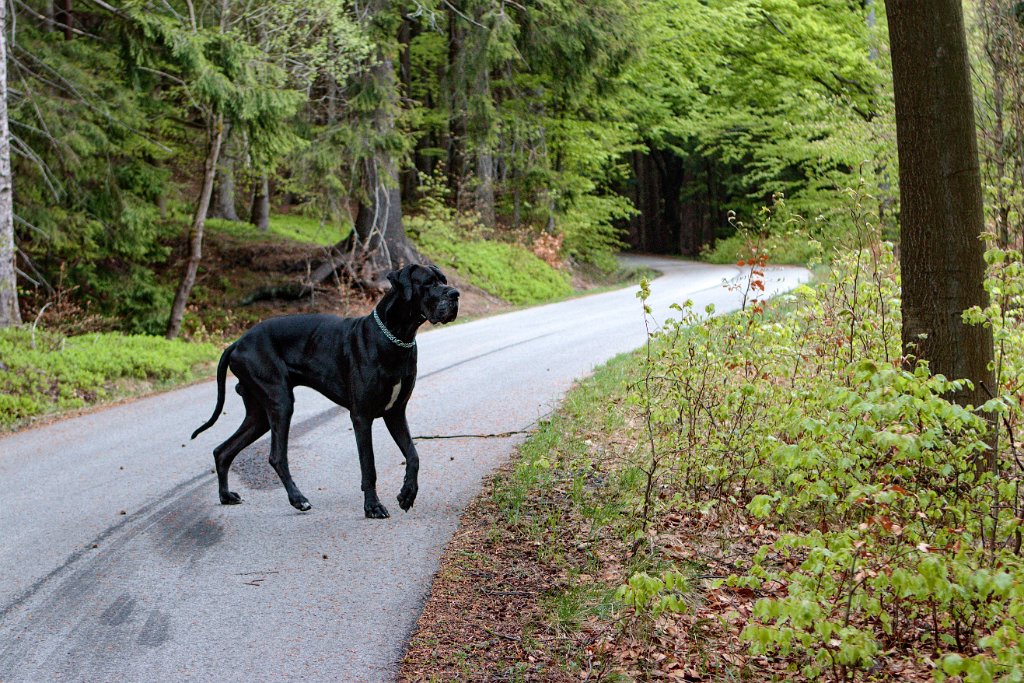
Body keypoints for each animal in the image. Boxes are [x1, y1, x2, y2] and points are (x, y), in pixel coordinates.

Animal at [189, 264, 460, 516]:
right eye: (428, 283)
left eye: (444, 280)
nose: (455, 294)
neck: (396, 337)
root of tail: (237, 342)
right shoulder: (361, 416)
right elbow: (369, 466)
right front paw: (372, 506)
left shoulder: (395, 412)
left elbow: (413, 455)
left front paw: (407, 494)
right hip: (280, 403)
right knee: (276, 456)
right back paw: (298, 499)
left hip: (259, 416)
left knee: (222, 451)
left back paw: (225, 495)